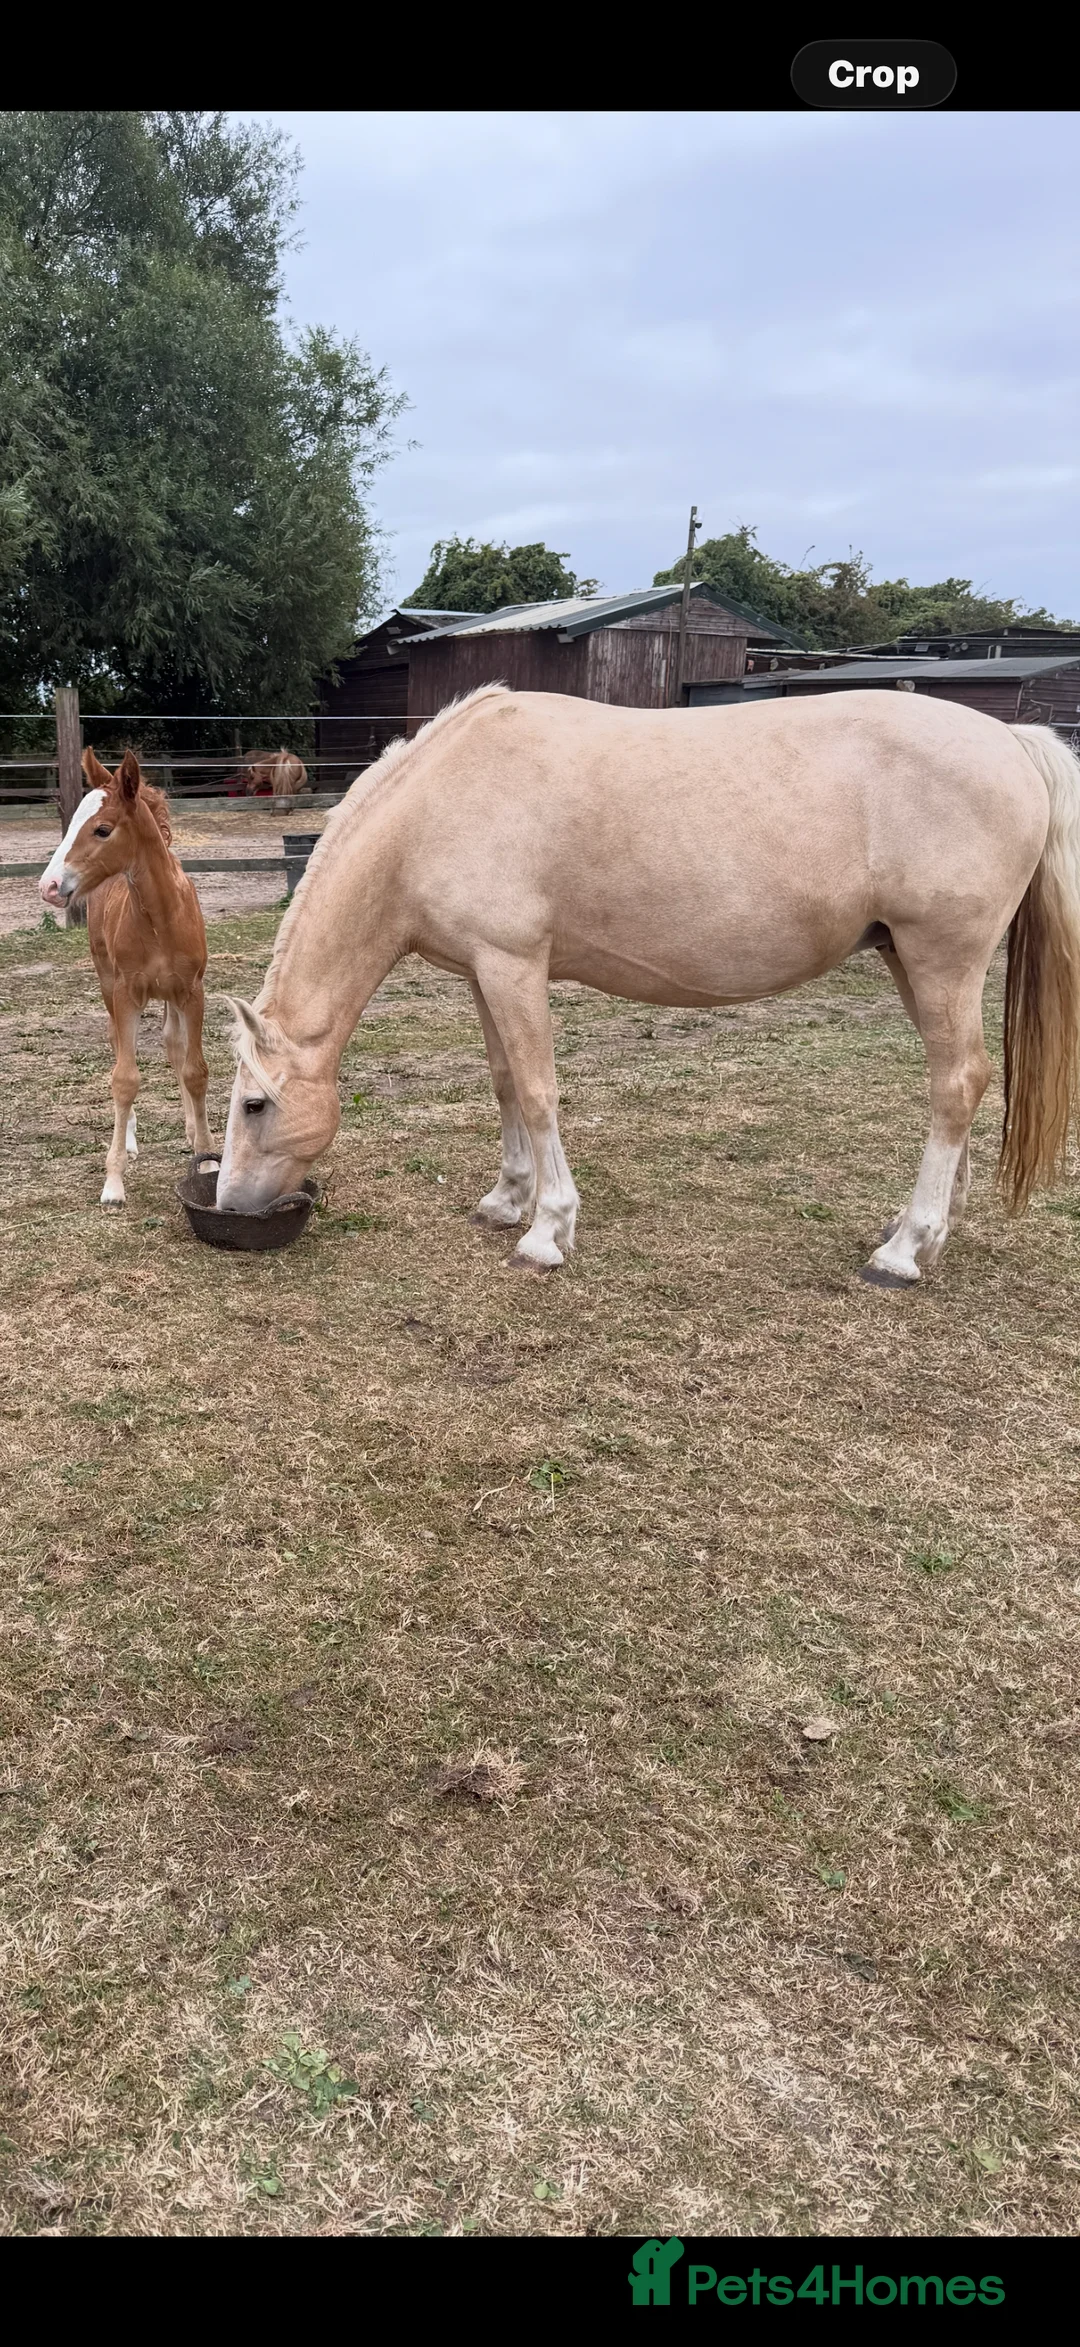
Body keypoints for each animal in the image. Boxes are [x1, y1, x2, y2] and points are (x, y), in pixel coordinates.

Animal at [39, 748, 218, 1206]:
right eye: (71, 824)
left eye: (102, 829)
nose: (49, 886)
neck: (160, 918)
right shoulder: (126, 994)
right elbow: (124, 1078)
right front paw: (114, 1182)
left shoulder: (192, 991)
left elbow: (194, 1070)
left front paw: (207, 1157)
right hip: (107, 982)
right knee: (118, 1044)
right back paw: (133, 1137)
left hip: (170, 994)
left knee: (173, 1046)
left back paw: (190, 1129)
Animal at [214, 685, 1080, 1288]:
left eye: (255, 1104)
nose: (226, 1205)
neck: (438, 807)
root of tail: (1011, 740)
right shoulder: (484, 972)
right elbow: (503, 1083)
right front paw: (505, 1199)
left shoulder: (514, 964)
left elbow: (538, 1090)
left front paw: (545, 1231)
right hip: (908, 958)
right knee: (960, 1080)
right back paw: (931, 1227)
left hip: (942, 959)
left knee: (956, 1084)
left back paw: (901, 1251)